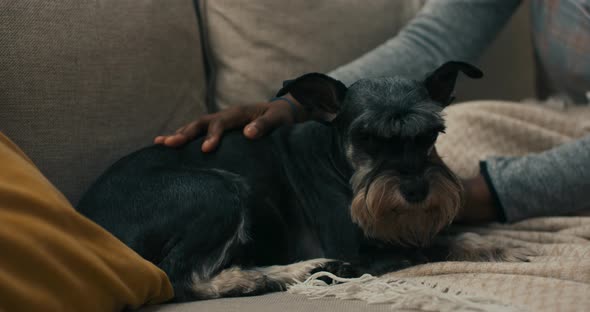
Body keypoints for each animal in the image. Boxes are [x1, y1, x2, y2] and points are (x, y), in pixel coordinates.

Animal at [77, 61, 528, 302]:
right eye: (366, 137)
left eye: (431, 134)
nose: (416, 190)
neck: (337, 163)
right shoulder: (365, 250)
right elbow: (437, 244)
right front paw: (503, 248)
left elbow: (454, 235)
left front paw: (498, 244)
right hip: (218, 191)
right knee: (181, 278)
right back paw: (279, 274)